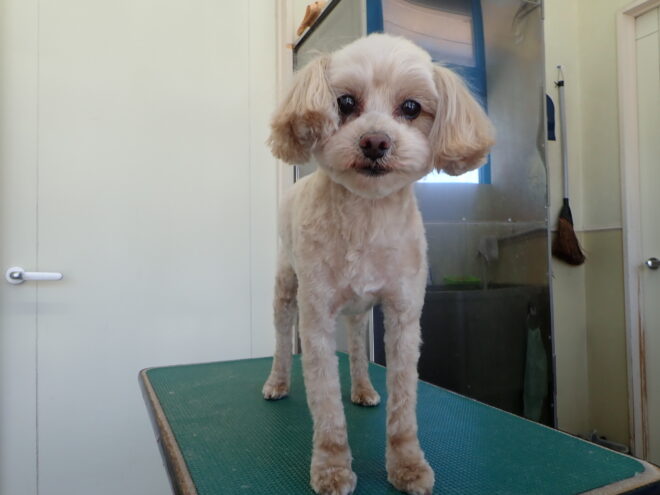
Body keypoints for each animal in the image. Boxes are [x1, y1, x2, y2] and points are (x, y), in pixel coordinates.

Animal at [262, 33, 494, 495]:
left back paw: (364, 388)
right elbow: (326, 407)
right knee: (280, 340)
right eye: (346, 102)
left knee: (355, 346)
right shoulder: (315, 320)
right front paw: (332, 467)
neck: (366, 217)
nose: (374, 142)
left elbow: (404, 405)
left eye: (411, 107)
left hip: (360, 310)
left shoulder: (404, 316)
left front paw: (407, 465)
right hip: (286, 288)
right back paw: (277, 382)